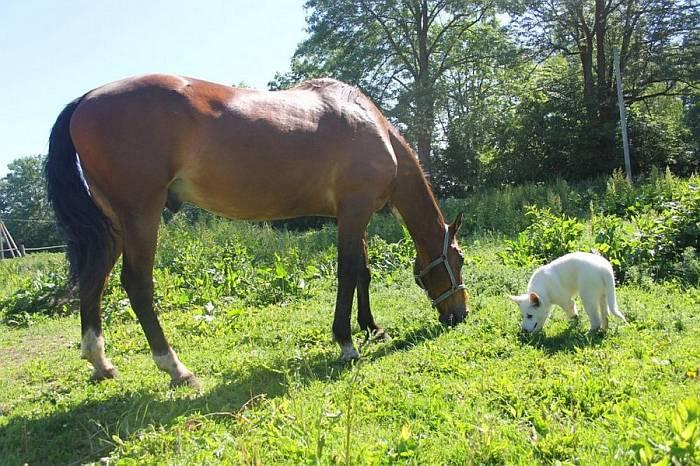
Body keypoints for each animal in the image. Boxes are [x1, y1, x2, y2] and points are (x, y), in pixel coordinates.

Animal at [46, 73, 468, 386]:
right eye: (459, 260)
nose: (459, 314)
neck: (372, 128)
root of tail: (86, 99)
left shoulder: (350, 215)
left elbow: (362, 271)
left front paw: (372, 327)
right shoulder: (355, 210)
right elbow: (348, 273)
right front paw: (346, 341)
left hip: (114, 226)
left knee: (92, 282)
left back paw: (100, 362)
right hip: (141, 217)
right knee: (136, 286)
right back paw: (176, 368)